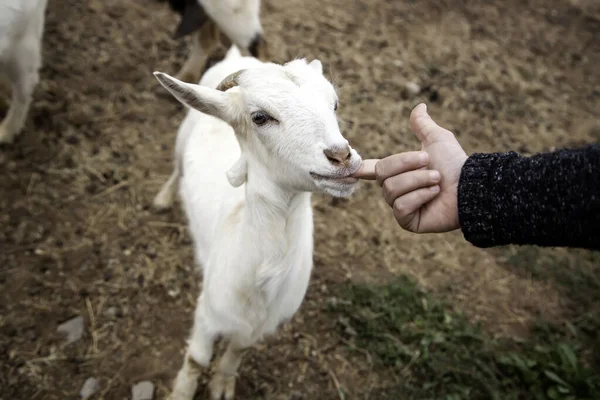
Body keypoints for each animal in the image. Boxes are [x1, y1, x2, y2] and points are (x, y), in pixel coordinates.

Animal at [152, 44, 364, 400]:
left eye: (334, 104)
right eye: (260, 117)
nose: (342, 157)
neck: (263, 278)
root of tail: (237, 54)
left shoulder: (259, 327)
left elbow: (236, 353)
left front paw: (222, 386)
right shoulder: (208, 312)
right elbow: (196, 359)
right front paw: (182, 391)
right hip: (181, 140)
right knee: (177, 167)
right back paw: (164, 198)